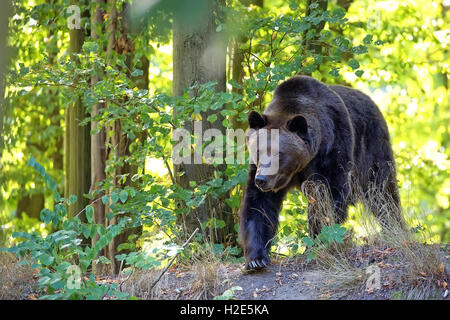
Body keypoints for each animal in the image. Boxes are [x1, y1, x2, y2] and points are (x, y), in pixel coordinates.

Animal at [241, 75, 406, 270]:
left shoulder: (332, 149)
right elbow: (258, 205)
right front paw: (256, 258)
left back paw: (395, 227)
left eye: (278, 153)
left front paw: (318, 241)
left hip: (372, 147)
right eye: (259, 151)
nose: (262, 179)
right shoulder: (260, 171)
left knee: (382, 192)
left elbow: (328, 197)